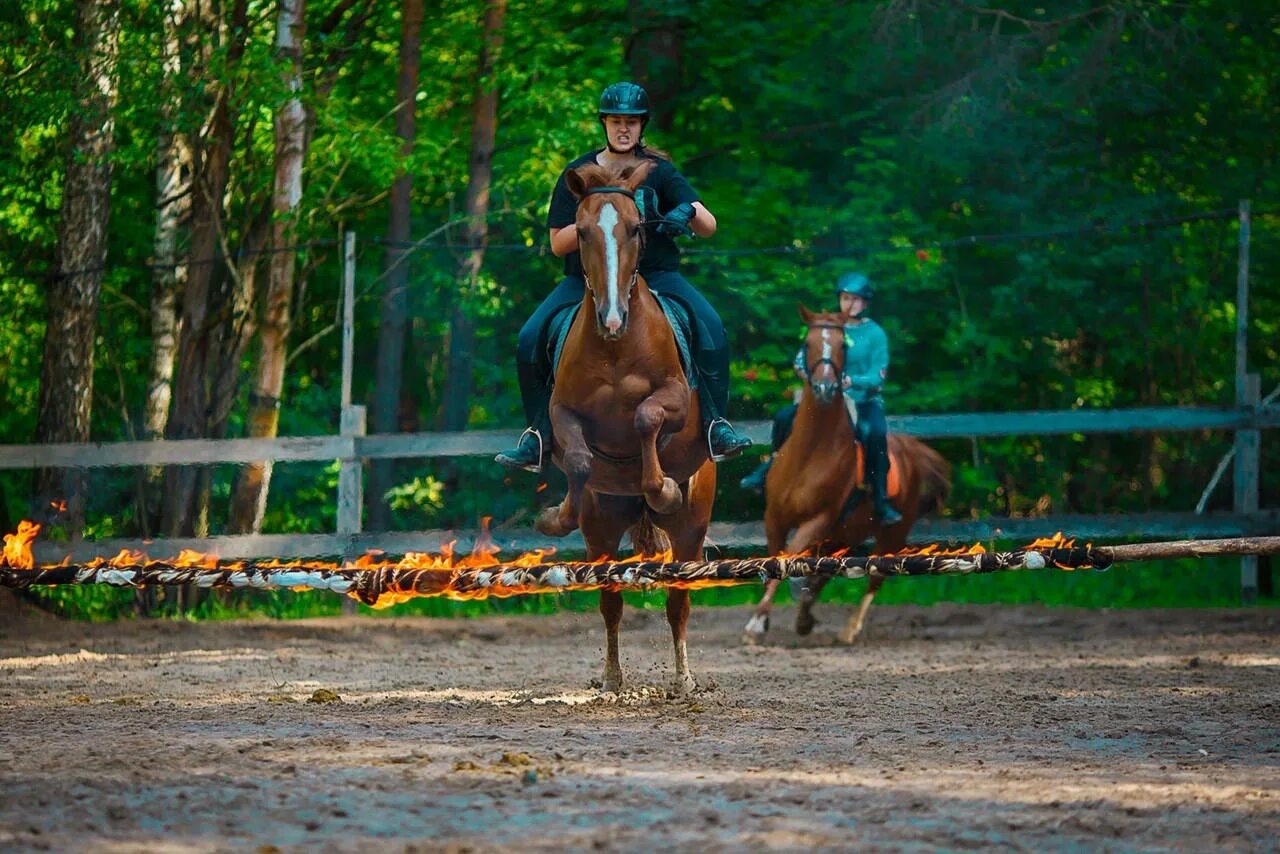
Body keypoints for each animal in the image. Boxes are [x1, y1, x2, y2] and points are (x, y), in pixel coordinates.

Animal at [527, 158, 711, 696]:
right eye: (583, 231)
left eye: (635, 228)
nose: (612, 318)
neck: (613, 347)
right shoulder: (563, 413)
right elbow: (579, 458)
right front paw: (555, 516)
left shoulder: (675, 398)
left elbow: (647, 415)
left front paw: (662, 487)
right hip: (604, 527)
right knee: (610, 599)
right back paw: (611, 679)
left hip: (691, 530)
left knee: (678, 600)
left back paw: (684, 679)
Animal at [742, 303, 952, 645]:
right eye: (807, 344)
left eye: (843, 346)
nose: (826, 388)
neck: (811, 452)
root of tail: (911, 449)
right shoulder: (774, 517)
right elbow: (777, 562)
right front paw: (763, 619)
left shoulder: (817, 522)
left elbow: (787, 561)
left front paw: (756, 623)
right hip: (842, 534)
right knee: (824, 573)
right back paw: (805, 617)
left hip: (891, 534)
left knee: (875, 577)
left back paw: (849, 629)